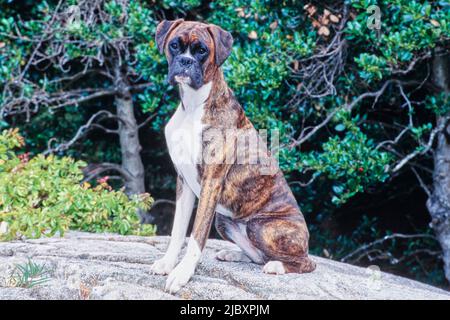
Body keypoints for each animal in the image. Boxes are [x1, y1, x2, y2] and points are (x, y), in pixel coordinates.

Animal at [151, 19, 316, 292]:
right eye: (174, 45)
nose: (185, 61)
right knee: (258, 254)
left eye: (202, 50)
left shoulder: (211, 182)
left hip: (262, 226)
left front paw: (182, 273)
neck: (194, 105)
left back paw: (277, 266)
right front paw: (167, 263)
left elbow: (196, 236)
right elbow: (177, 231)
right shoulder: (183, 181)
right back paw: (235, 254)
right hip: (224, 221)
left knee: (305, 262)